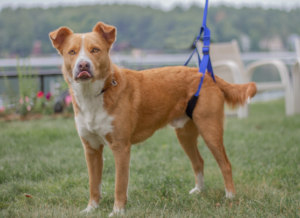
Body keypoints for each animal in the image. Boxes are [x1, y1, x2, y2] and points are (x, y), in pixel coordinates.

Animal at [49, 21, 255, 215]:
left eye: (95, 50)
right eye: (72, 52)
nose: (83, 65)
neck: (95, 94)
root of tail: (206, 75)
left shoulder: (121, 147)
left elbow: (119, 184)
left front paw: (118, 211)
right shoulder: (91, 148)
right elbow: (94, 183)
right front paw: (91, 209)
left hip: (210, 129)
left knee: (225, 164)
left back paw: (230, 196)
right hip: (184, 134)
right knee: (199, 161)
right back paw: (199, 191)